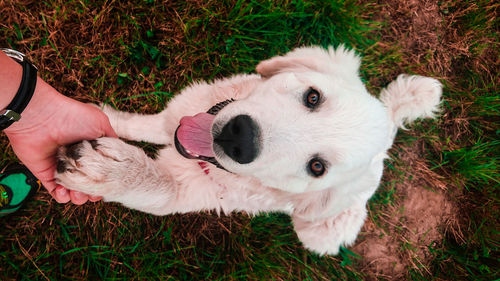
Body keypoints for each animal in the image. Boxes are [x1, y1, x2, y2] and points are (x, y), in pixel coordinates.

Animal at [54, 45, 442, 254]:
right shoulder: (178, 114)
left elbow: (158, 188)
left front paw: (113, 171)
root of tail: (389, 129)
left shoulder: (187, 192)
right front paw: (94, 115)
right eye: (312, 97)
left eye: (317, 168)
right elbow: (140, 124)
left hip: (322, 235)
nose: (239, 137)